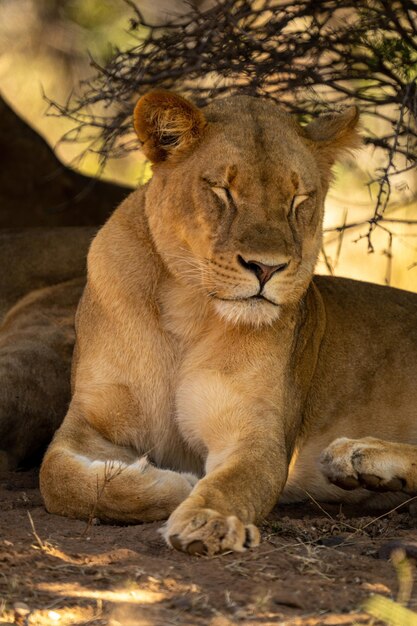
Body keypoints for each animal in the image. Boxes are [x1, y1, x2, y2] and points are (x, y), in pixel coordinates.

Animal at [39, 91, 416, 552]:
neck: (186, 309)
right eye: (223, 191)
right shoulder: (88, 421)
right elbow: (57, 479)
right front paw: (169, 485)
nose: (266, 268)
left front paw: (206, 519)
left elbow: (232, 484)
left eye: (299, 200)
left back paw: (359, 457)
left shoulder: (256, 435)